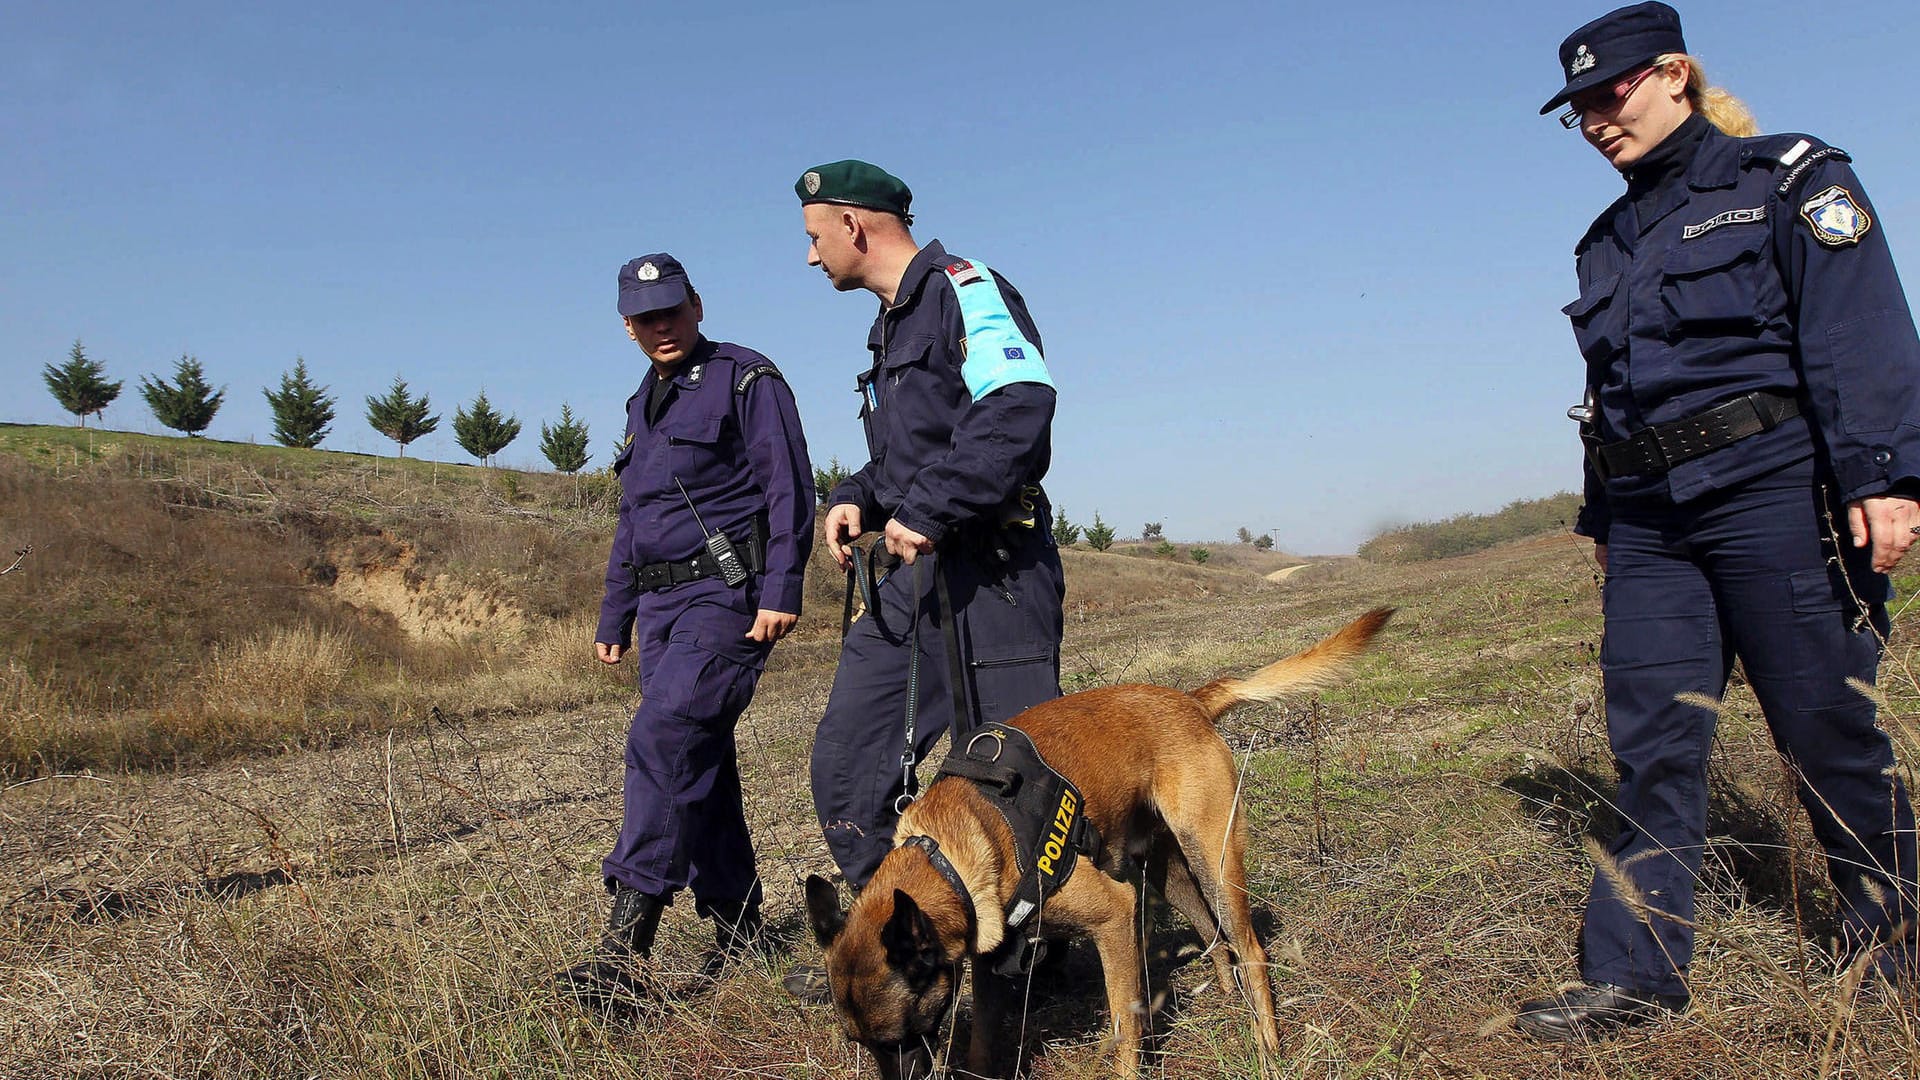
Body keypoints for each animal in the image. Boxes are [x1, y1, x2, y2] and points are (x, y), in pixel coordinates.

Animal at [802, 607, 1390, 1076]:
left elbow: (1127, 1023)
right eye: (863, 1044)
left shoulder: (1114, 913)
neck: (948, 852)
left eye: (901, 1037)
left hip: (1213, 858)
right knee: (1213, 934)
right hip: (1170, 870)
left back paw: (1267, 1044)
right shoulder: (991, 962)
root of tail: (1189, 701)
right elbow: (984, 1042)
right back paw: (1227, 997)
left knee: (1249, 947)